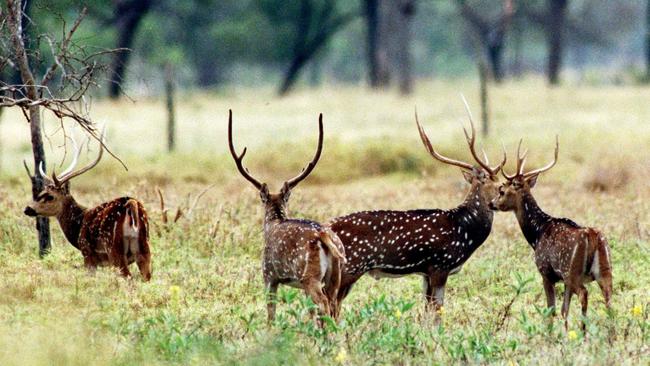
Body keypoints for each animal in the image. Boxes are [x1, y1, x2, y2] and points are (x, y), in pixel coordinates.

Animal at [23, 132, 151, 280]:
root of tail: (132, 204)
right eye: (42, 191)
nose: (27, 208)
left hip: (114, 249)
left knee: (128, 276)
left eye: (49, 196)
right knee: (146, 276)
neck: (78, 225)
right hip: (144, 247)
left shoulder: (88, 254)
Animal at [225, 110, 344, 322]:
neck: (273, 223)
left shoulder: (268, 275)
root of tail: (323, 235)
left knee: (323, 305)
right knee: (334, 306)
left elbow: (271, 312)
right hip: (335, 276)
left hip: (309, 275)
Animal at [326, 101, 504, 322]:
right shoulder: (440, 264)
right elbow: (437, 312)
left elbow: (428, 311)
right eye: (499, 185)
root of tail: (324, 228)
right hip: (350, 267)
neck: (464, 230)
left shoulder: (426, 272)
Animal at [488, 138, 612, 332]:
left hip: (572, 272)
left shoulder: (546, 271)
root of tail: (592, 236)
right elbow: (564, 310)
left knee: (584, 294)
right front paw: (565, 333)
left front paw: (551, 334)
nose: (491, 203)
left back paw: (583, 333)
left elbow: (551, 310)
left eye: (501, 190)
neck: (537, 234)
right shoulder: (563, 281)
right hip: (605, 270)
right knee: (609, 300)